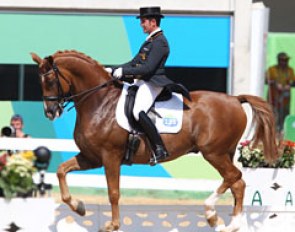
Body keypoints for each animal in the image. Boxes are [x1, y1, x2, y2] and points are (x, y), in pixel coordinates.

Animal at [31, 50, 278, 232]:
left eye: (50, 79)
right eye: (39, 81)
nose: (50, 112)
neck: (99, 102)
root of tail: (235, 99)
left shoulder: (110, 156)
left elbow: (113, 192)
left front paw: (112, 225)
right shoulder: (91, 157)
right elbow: (62, 171)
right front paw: (79, 207)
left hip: (213, 153)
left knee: (233, 177)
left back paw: (211, 213)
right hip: (224, 152)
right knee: (237, 183)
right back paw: (230, 223)